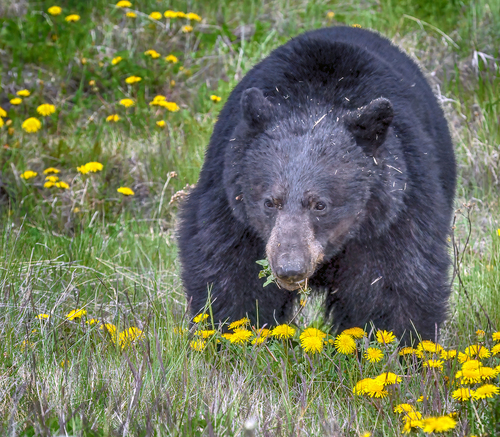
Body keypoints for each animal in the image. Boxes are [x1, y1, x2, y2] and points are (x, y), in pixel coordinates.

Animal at [178, 26, 456, 340]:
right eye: (270, 202)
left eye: (320, 205)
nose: (290, 268)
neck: (315, 104)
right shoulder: (230, 207)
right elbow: (230, 276)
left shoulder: (392, 215)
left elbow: (395, 286)